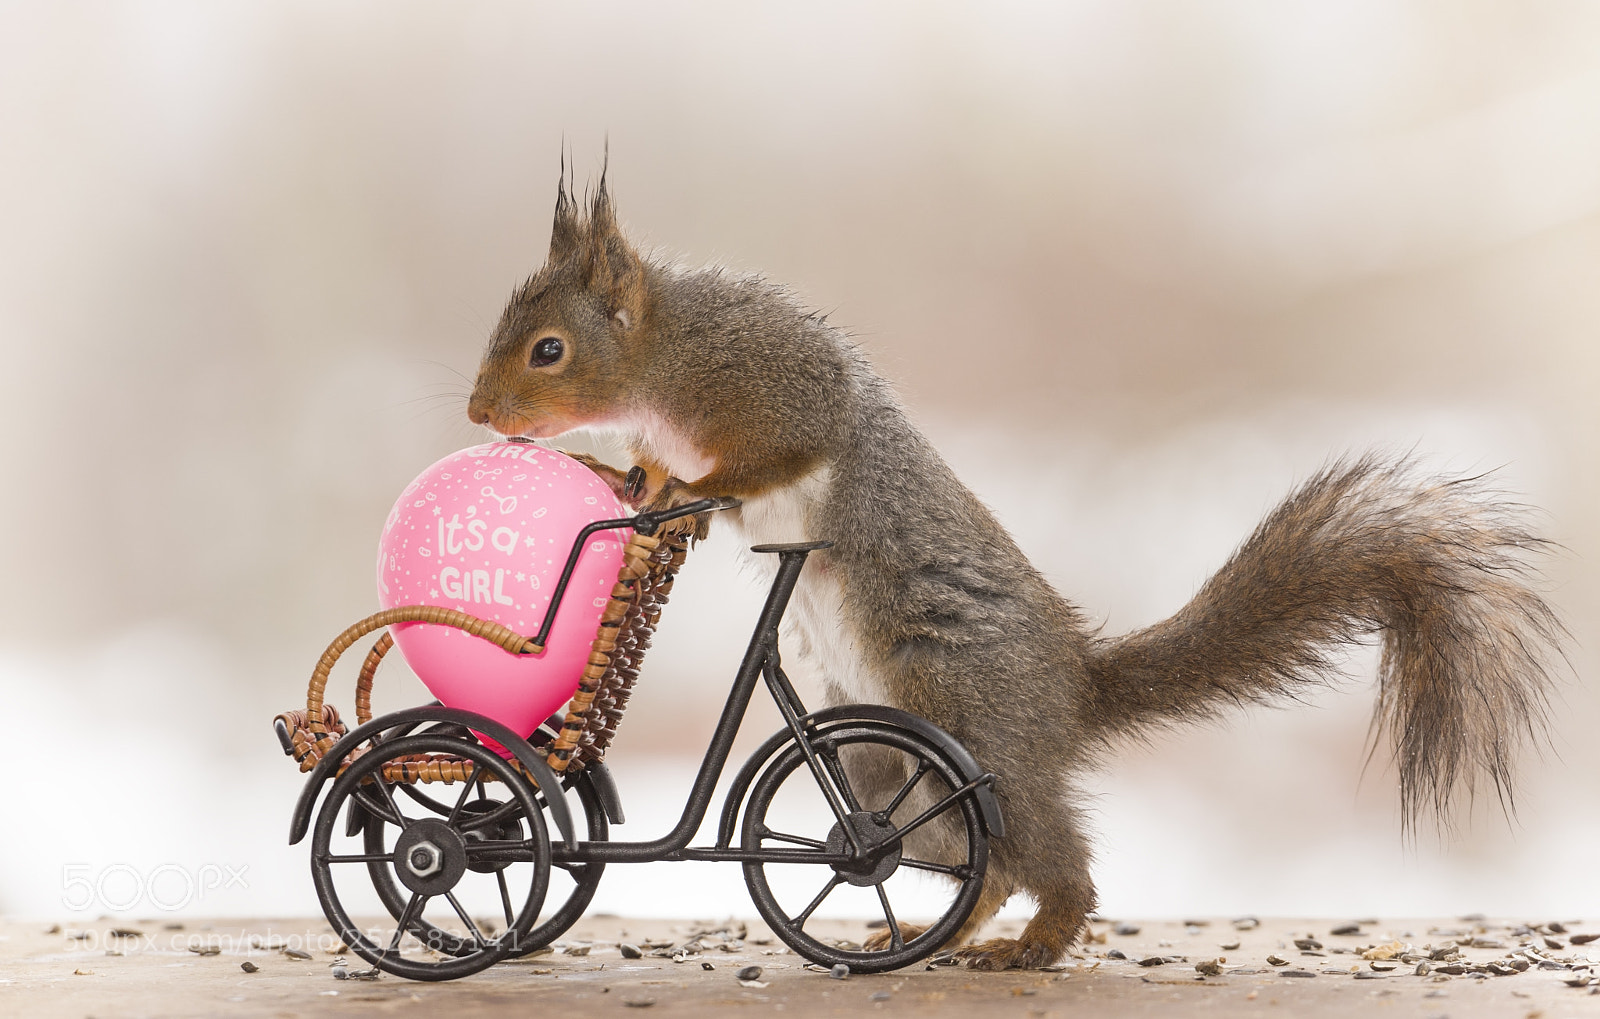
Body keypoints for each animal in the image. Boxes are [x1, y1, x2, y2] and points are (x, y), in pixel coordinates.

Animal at [466, 171, 1564, 970]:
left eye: (549, 350)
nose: (479, 415)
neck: (667, 355)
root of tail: (1073, 687)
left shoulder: (775, 382)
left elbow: (771, 457)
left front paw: (679, 485)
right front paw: (642, 481)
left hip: (968, 710)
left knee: (1052, 856)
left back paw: (1033, 942)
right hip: (891, 769)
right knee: (972, 862)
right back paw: (931, 931)